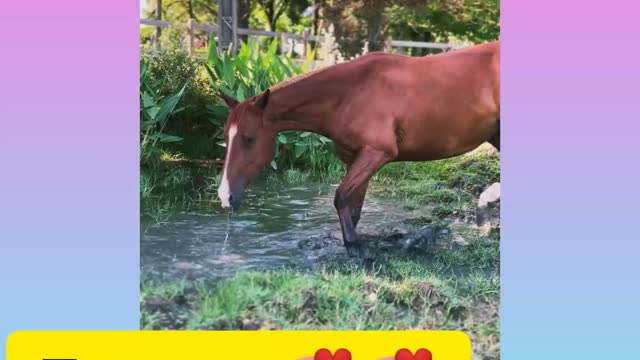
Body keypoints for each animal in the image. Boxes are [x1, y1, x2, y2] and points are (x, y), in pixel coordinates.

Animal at [215, 41, 500, 256]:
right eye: (226, 138)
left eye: (249, 138)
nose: (225, 196)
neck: (349, 94)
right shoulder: (355, 159)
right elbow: (353, 206)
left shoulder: (377, 153)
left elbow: (341, 197)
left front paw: (355, 247)